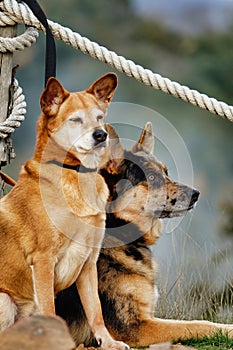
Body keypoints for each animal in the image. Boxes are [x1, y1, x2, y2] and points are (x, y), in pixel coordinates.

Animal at [0, 74, 129, 350]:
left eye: (99, 117)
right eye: (76, 119)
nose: (101, 135)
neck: (76, 175)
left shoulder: (89, 263)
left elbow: (95, 311)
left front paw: (108, 342)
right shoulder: (43, 261)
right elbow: (50, 310)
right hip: (5, 300)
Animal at [56, 121, 233, 346]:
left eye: (166, 172)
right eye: (152, 177)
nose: (196, 194)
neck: (117, 231)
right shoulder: (136, 327)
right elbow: (194, 325)